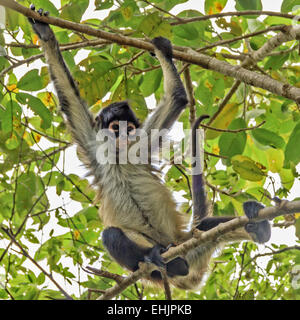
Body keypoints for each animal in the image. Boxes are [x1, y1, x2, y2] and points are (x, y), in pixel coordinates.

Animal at [28, 5, 272, 290]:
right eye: (115, 127)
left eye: (129, 128)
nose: (124, 135)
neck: (119, 156)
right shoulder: (92, 146)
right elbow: (68, 99)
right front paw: (45, 33)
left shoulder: (140, 143)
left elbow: (176, 98)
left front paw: (161, 49)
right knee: (112, 235)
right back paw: (161, 260)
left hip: (190, 244)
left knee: (206, 227)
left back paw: (258, 226)